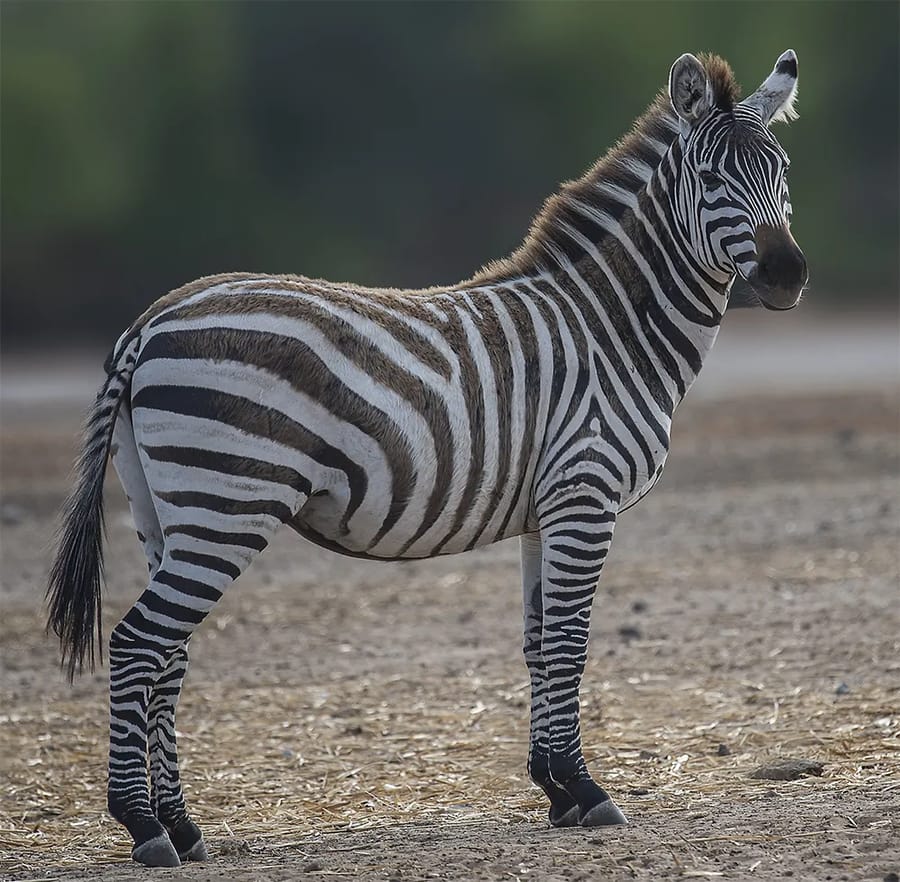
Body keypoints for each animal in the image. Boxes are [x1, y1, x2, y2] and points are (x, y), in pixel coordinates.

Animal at [47, 49, 808, 868]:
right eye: (712, 178)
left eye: (781, 169)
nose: (787, 275)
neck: (613, 328)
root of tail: (149, 322)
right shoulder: (585, 494)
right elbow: (570, 643)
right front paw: (588, 790)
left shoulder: (545, 511)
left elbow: (539, 645)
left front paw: (556, 789)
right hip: (229, 503)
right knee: (138, 645)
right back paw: (143, 826)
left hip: (165, 512)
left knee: (169, 656)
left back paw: (184, 827)